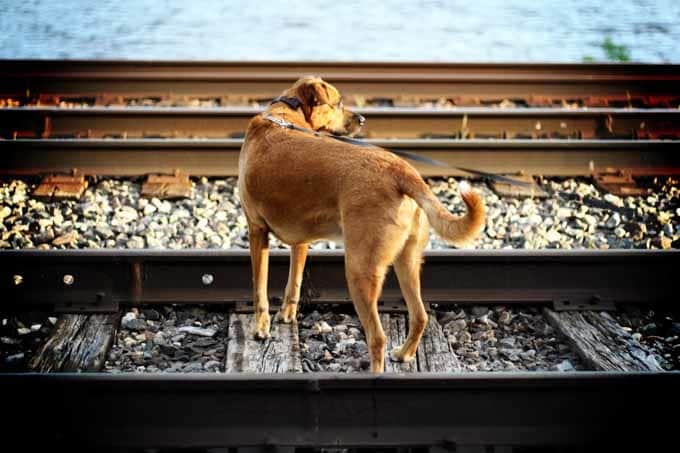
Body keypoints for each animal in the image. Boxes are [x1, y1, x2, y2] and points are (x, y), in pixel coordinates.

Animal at [238, 76, 484, 370]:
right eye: (339, 103)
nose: (363, 119)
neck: (286, 114)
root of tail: (402, 171)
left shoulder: (257, 230)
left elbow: (259, 288)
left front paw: (261, 329)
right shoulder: (301, 242)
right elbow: (293, 282)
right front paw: (286, 315)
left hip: (359, 269)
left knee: (377, 338)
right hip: (407, 261)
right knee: (420, 316)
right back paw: (404, 354)